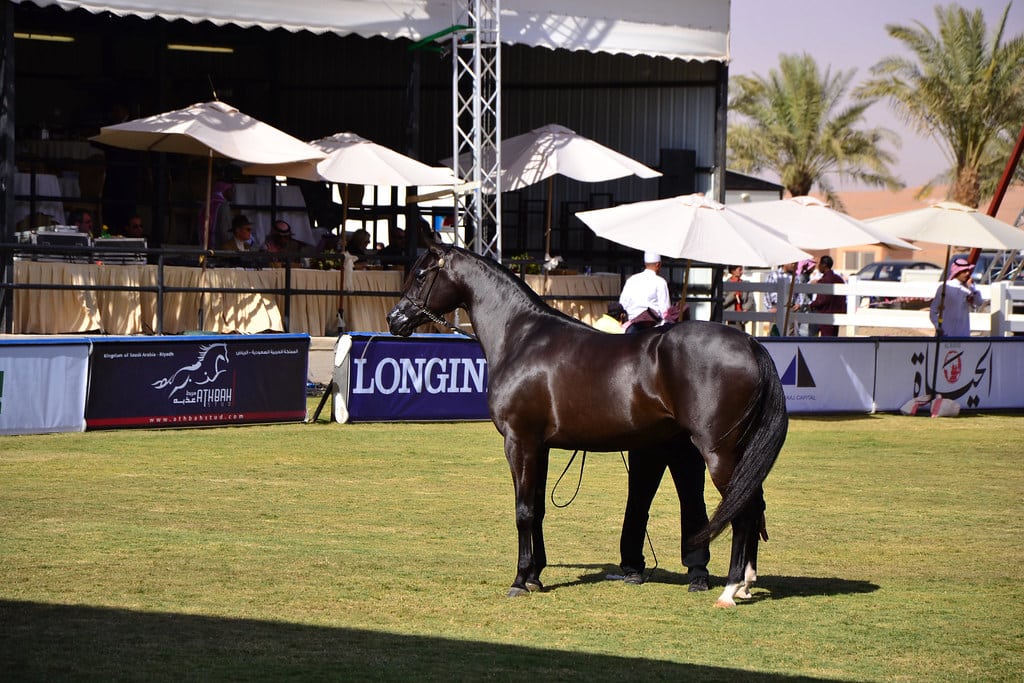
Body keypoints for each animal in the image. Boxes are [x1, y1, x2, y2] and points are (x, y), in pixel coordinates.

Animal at [386, 244, 788, 607]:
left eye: (421, 275)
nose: (394, 320)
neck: (521, 337)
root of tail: (750, 342)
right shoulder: (541, 447)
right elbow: (537, 509)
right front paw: (535, 576)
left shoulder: (519, 441)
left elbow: (522, 510)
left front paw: (519, 581)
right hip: (737, 453)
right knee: (754, 505)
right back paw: (746, 583)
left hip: (719, 453)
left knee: (742, 511)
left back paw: (730, 590)